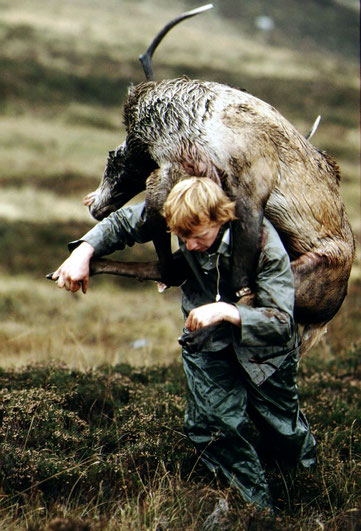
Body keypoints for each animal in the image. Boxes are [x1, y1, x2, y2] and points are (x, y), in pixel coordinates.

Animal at [79, 4, 354, 356]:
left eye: (112, 158)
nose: (92, 205)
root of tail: (325, 320)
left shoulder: (234, 182)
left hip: (303, 276)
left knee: (255, 307)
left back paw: (196, 332)